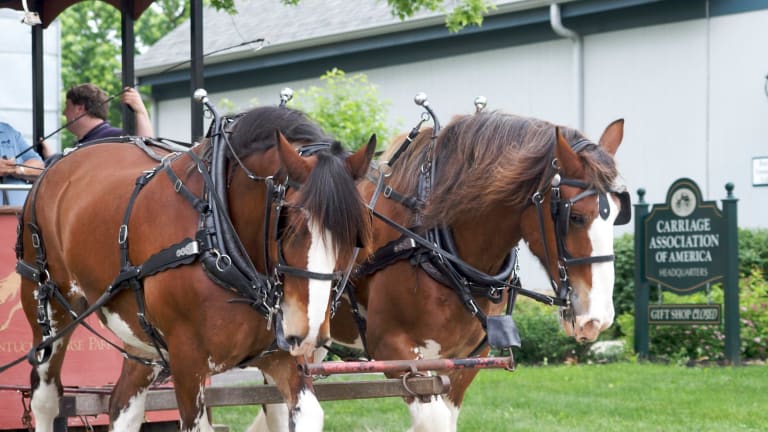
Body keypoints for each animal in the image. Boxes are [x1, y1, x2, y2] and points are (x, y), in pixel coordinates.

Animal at [17, 105, 376, 432]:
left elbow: (308, 413)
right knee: (45, 400)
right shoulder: (187, 360)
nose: (309, 332)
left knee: (123, 405)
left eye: (354, 236)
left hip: (141, 336)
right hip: (49, 310)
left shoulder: (278, 354)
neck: (217, 231)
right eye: (288, 225)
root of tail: (57, 165)